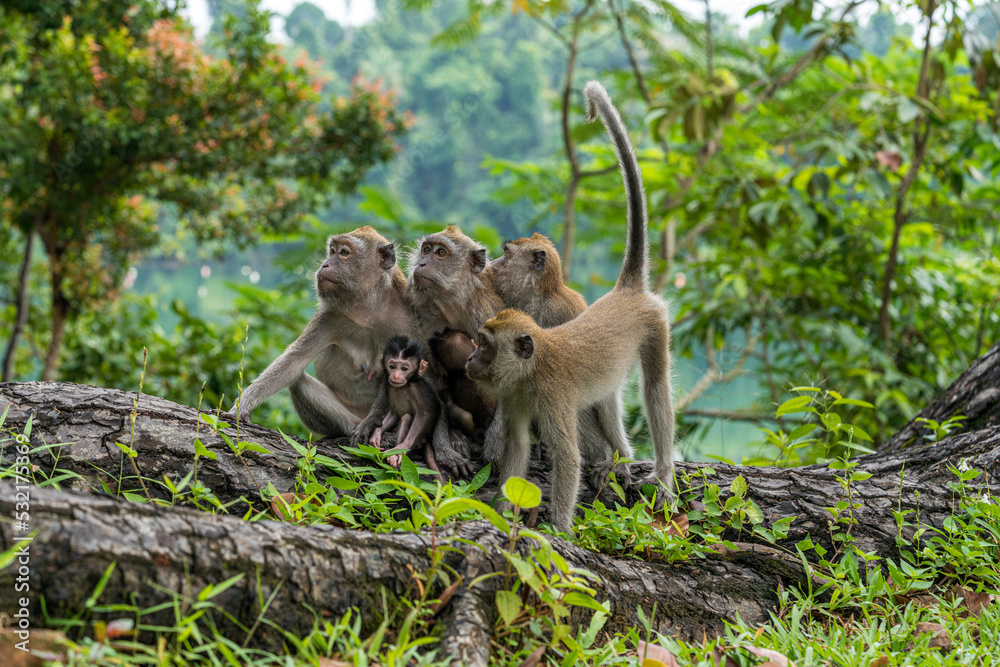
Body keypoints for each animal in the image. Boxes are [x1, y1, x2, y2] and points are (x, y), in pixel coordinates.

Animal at [369, 335, 444, 481]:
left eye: (404, 368)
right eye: (392, 366)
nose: (396, 376)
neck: (403, 386)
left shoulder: (415, 389)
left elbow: (424, 414)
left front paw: (403, 447)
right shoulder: (388, 385)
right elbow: (393, 412)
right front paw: (376, 435)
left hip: (420, 438)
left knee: (407, 417)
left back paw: (396, 455)